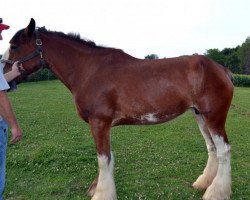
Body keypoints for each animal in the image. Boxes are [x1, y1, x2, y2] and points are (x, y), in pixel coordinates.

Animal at [1, 18, 233, 198]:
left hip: (214, 116)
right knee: (212, 148)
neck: (90, 71)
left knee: (224, 150)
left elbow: (103, 159)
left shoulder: (99, 122)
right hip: (200, 116)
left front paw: (101, 194)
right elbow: (107, 158)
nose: (5, 76)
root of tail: (221, 68)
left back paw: (215, 193)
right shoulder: (103, 125)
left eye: (14, 46)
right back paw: (203, 183)